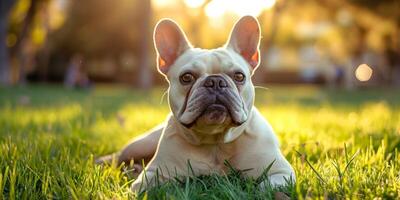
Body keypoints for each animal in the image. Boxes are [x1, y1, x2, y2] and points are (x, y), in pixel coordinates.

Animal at [97, 16, 296, 192]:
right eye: (186, 77)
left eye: (239, 76)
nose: (215, 81)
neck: (215, 142)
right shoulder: (154, 172)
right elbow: (145, 187)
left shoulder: (281, 172)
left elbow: (266, 187)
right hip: (142, 144)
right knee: (120, 156)